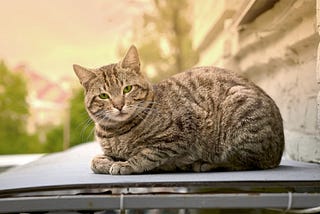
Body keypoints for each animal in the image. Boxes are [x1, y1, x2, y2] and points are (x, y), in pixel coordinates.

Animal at [74, 44, 284, 174]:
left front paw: (126, 164)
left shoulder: (176, 135)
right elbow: (95, 160)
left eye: (127, 88)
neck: (116, 132)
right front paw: (105, 162)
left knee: (245, 162)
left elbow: (146, 154)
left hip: (238, 108)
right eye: (104, 96)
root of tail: (279, 152)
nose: (119, 105)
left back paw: (205, 164)